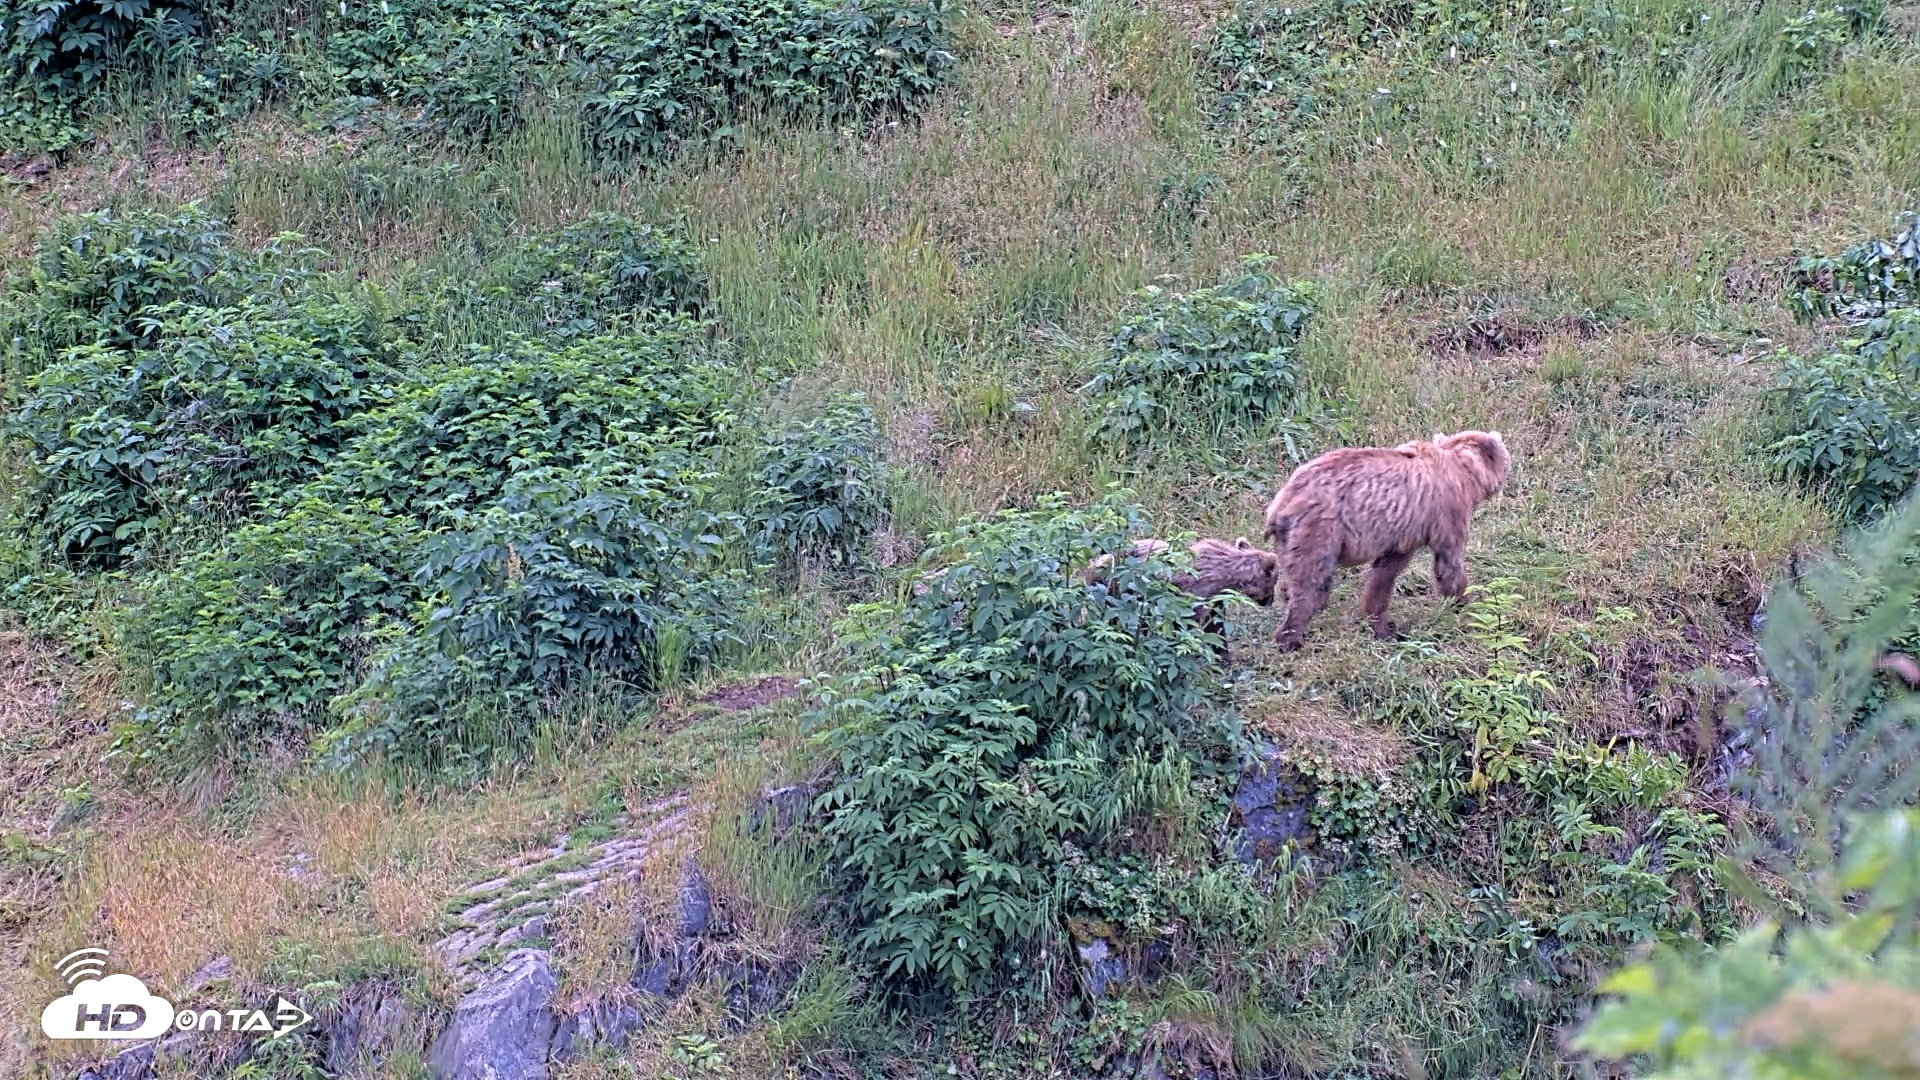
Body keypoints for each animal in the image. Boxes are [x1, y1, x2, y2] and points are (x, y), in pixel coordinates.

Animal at [1263, 430, 1510, 651]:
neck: (1465, 470)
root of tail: (1281, 502)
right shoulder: (1446, 512)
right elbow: (1448, 564)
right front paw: (1467, 604)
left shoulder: (1402, 530)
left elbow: (1384, 574)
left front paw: (1381, 626)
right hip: (1321, 530)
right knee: (1311, 583)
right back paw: (1289, 639)